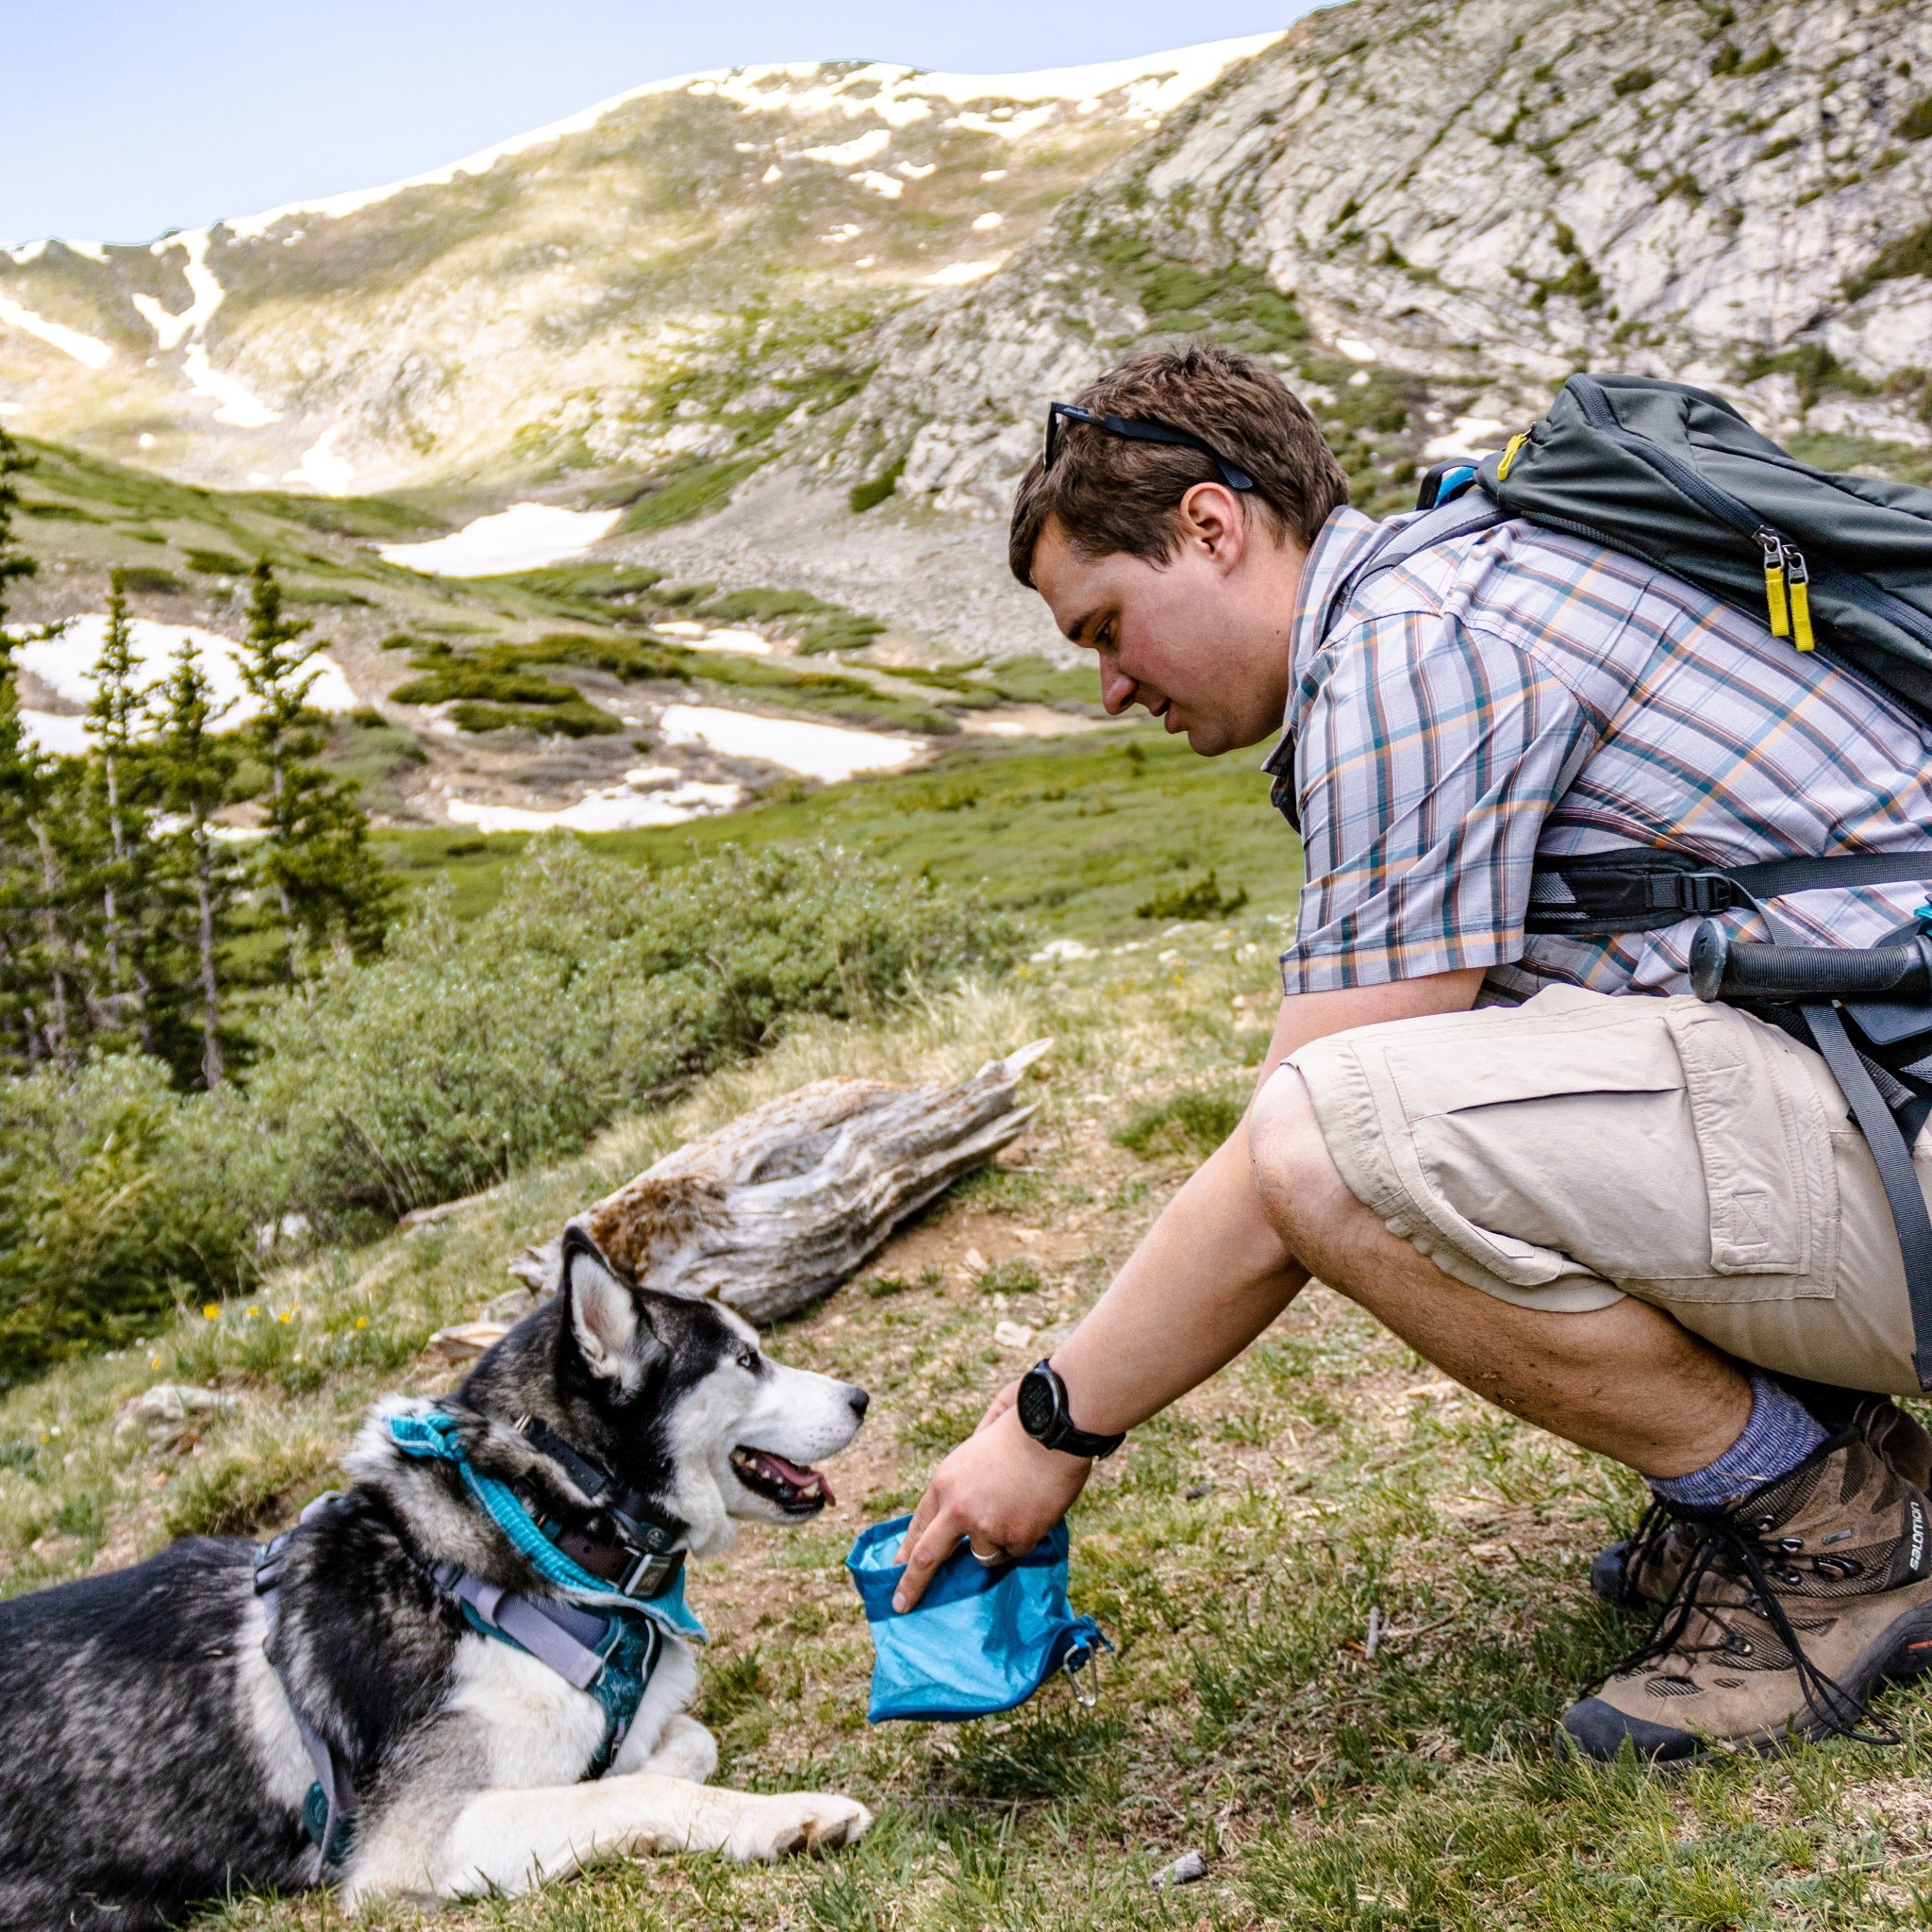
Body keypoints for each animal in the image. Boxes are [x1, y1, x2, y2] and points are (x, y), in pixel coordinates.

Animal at [0, 1228, 873, 1924]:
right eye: (748, 1360)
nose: (861, 1396)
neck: (549, 1531)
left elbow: (679, 1745)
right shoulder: (417, 1842)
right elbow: (638, 1791)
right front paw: (783, 1818)